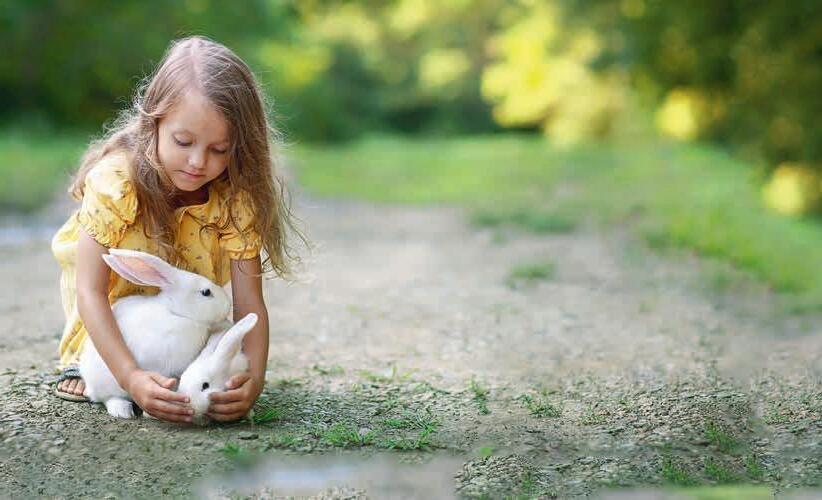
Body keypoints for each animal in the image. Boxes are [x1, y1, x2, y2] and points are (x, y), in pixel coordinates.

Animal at [79, 248, 232, 419]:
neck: (176, 312)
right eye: (206, 292)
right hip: (107, 382)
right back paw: (123, 411)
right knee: (108, 398)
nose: (228, 304)